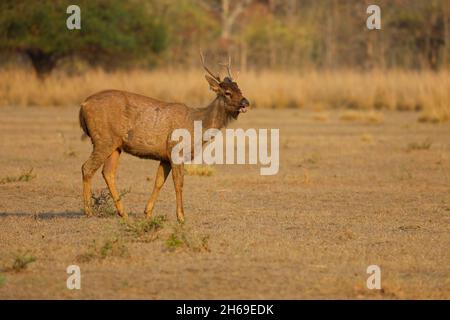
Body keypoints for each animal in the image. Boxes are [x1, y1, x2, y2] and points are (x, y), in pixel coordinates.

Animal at [79, 53, 251, 222]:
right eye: (227, 93)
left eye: (240, 89)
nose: (245, 102)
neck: (197, 124)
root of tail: (83, 105)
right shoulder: (176, 150)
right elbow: (178, 183)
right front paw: (181, 217)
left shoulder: (165, 156)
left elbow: (159, 182)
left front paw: (148, 212)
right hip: (103, 139)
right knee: (87, 167)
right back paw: (88, 211)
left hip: (116, 145)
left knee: (108, 172)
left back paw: (123, 213)